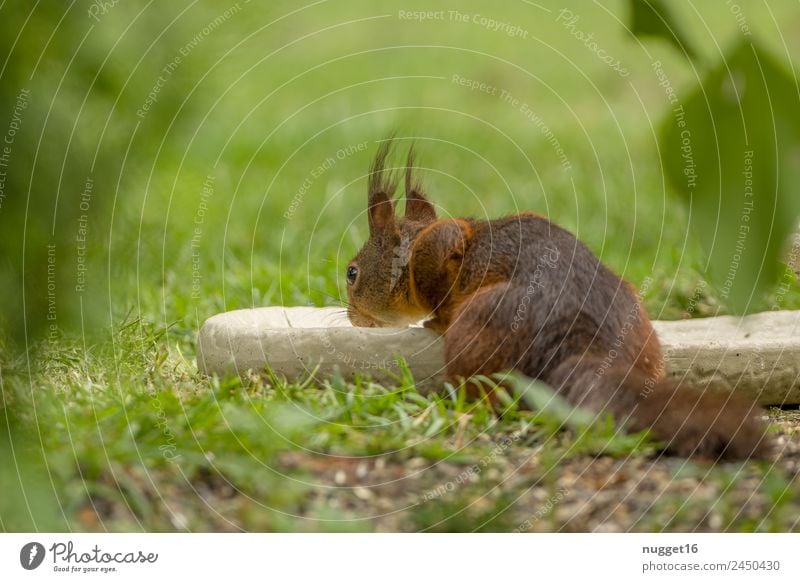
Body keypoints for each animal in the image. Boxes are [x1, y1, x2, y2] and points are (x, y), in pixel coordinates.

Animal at [346, 141, 772, 460]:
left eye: (352, 273)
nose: (351, 317)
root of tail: (580, 345)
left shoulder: (437, 248)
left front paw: (433, 319)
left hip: (483, 327)